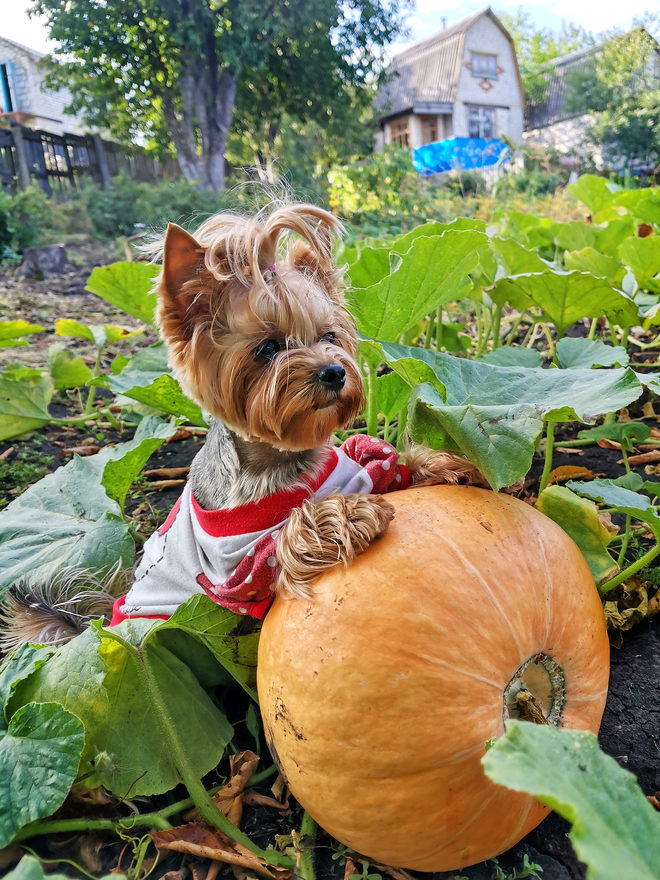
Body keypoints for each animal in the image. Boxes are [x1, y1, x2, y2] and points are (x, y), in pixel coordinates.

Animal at [2, 205, 482, 648]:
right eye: (268, 348)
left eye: (329, 336)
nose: (333, 372)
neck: (288, 457)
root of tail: (108, 614)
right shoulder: (231, 574)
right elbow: (280, 543)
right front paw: (345, 512)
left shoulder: (358, 465)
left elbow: (387, 462)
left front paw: (446, 465)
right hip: (164, 629)